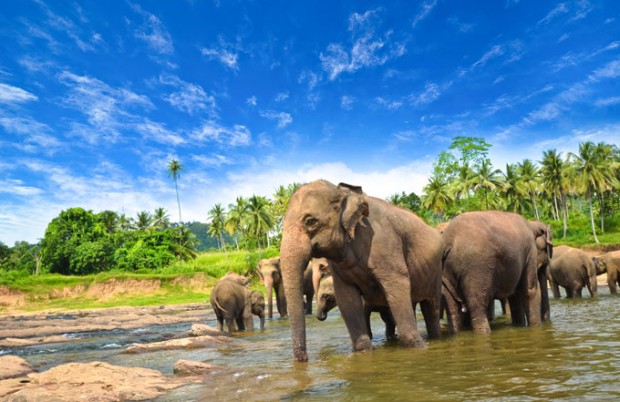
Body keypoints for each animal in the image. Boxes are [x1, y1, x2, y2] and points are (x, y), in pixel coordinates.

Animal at [278, 181, 444, 362]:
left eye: (310, 221)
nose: (305, 359)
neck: (342, 192)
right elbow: (347, 299)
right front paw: (362, 352)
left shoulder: (385, 245)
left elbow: (397, 286)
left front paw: (418, 349)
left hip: (436, 272)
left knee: (431, 309)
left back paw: (435, 339)